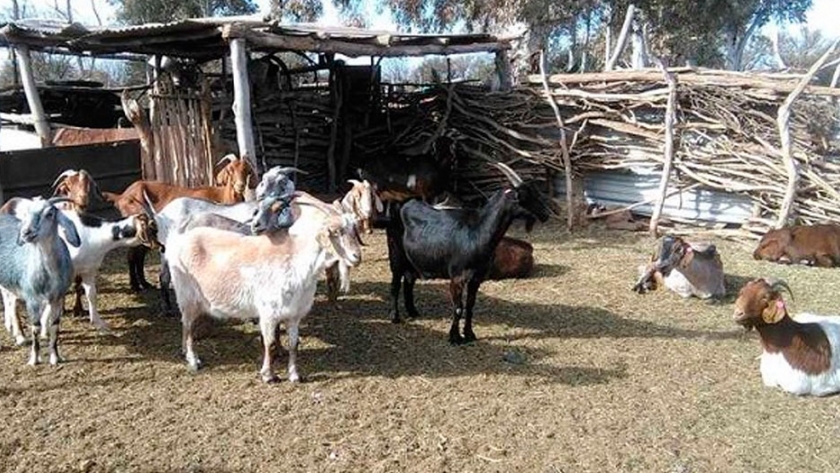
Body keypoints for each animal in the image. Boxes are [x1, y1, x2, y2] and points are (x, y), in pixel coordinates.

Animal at [0, 197, 80, 364]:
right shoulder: (32, 299)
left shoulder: (58, 298)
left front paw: (55, 357)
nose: (26, 233)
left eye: (49, 213)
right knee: (10, 302)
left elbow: (55, 326)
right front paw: (34, 359)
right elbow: (35, 328)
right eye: (26, 213)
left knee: (11, 300)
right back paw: (19, 335)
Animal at [102, 154, 256, 291]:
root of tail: (121, 196)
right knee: (132, 256)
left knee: (139, 256)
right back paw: (135, 286)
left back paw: (145, 284)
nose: (240, 186)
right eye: (230, 170)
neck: (221, 196)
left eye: (247, 170)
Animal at [166, 197, 362, 382]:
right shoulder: (268, 311)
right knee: (188, 326)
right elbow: (269, 343)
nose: (356, 257)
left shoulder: (294, 315)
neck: (296, 260)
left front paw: (294, 375)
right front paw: (268, 375)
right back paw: (193, 360)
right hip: (186, 295)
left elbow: (294, 344)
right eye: (335, 232)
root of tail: (179, 240)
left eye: (354, 229)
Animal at [386, 162, 552, 344]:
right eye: (524, 197)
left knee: (409, 280)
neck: (478, 231)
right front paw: (454, 337)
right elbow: (458, 308)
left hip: (412, 259)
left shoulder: (476, 278)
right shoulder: (457, 277)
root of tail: (402, 203)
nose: (546, 215)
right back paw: (395, 317)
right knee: (395, 283)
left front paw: (470, 334)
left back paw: (413, 312)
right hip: (396, 253)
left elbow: (470, 306)